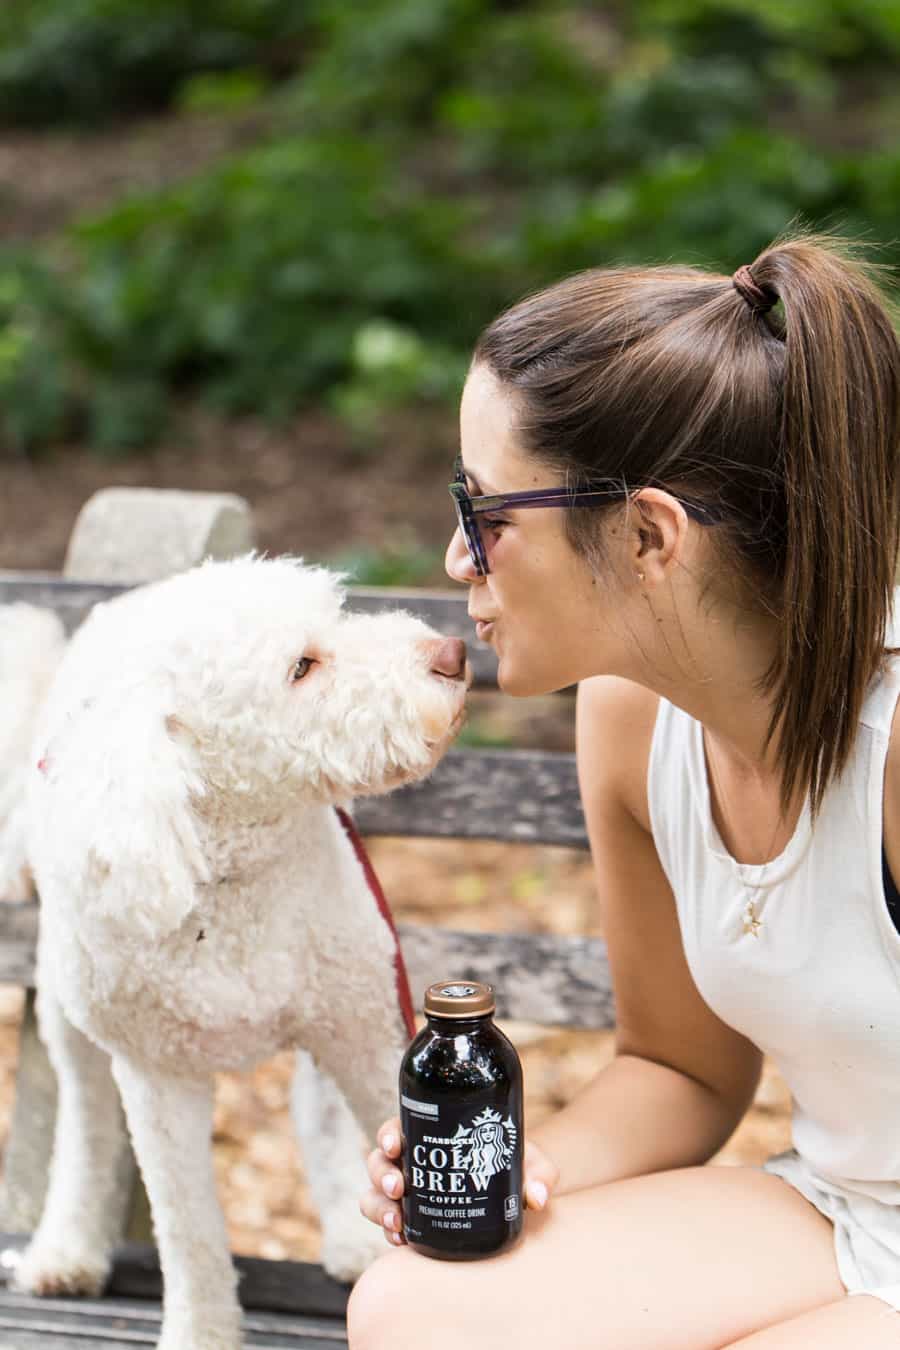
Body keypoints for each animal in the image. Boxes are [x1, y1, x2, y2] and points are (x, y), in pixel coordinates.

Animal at [0, 553, 474, 1350]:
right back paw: (65, 1251)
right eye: (301, 668)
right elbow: (187, 1232)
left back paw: (350, 1236)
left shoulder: (365, 1019)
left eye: (336, 615)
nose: (452, 653)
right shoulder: (157, 1079)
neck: (233, 875)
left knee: (319, 1104)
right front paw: (201, 1332)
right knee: (86, 1119)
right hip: (72, 1007)